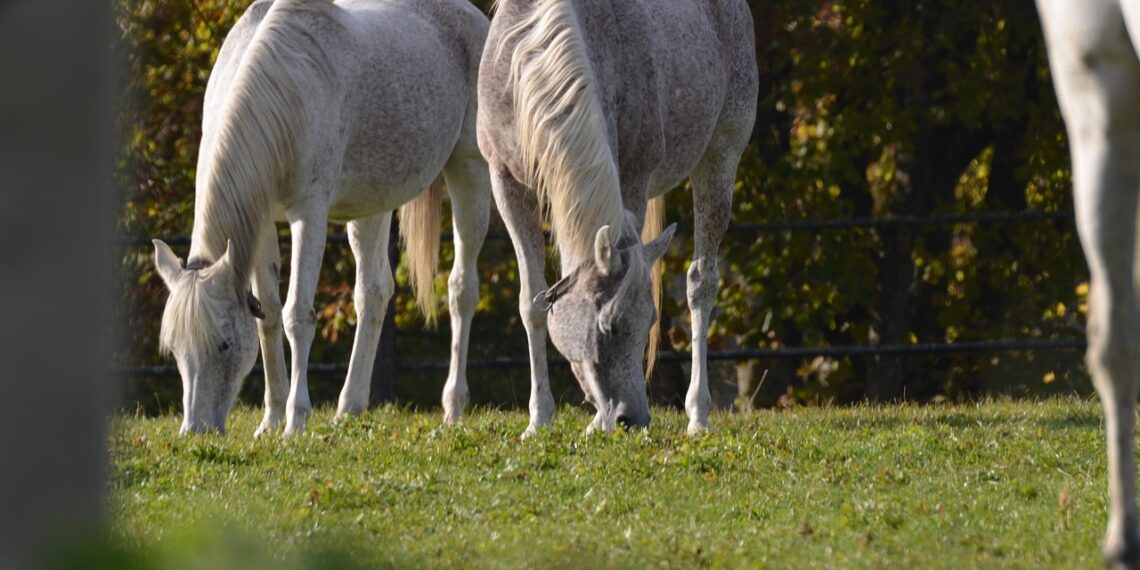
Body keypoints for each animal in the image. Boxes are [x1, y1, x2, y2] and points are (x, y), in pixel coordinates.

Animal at [151, 0, 491, 437]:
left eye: (223, 344)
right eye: (175, 349)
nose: (196, 431)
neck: (283, 93)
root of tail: (473, 18)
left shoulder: (308, 216)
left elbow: (297, 315)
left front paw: (295, 421)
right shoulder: (261, 224)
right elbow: (268, 317)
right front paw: (271, 419)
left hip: (469, 171)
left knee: (461, 289)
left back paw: (453, 408)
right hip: (372, 204)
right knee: (374, 292)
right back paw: (350, 407)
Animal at [478, 0, 758, 436]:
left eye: (648, 321)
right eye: (607, 326)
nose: (633, 418)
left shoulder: (633, 177)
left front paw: (594, 420)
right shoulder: (504, 179)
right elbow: (532, 302)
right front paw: (538, 419)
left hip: (721, 155)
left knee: (701, 282)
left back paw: (698, 416)